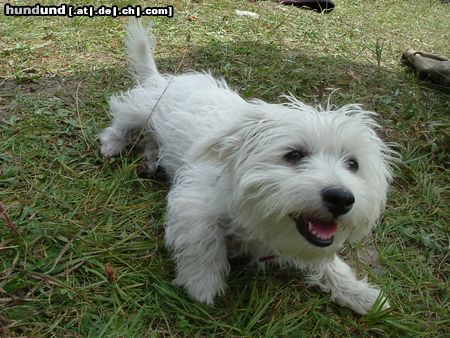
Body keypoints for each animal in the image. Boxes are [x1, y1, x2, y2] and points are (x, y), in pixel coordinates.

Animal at [101, 20, 394, 314]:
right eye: (294, 155)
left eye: (353, 164)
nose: (341, 198)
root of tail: (163, 78)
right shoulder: (195, 202)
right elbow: (203, 240)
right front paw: (202, 283)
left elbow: (329, 263)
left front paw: (360, 293)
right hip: (145, 109)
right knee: (123, 113)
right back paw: (112, 142)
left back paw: (150, 160)